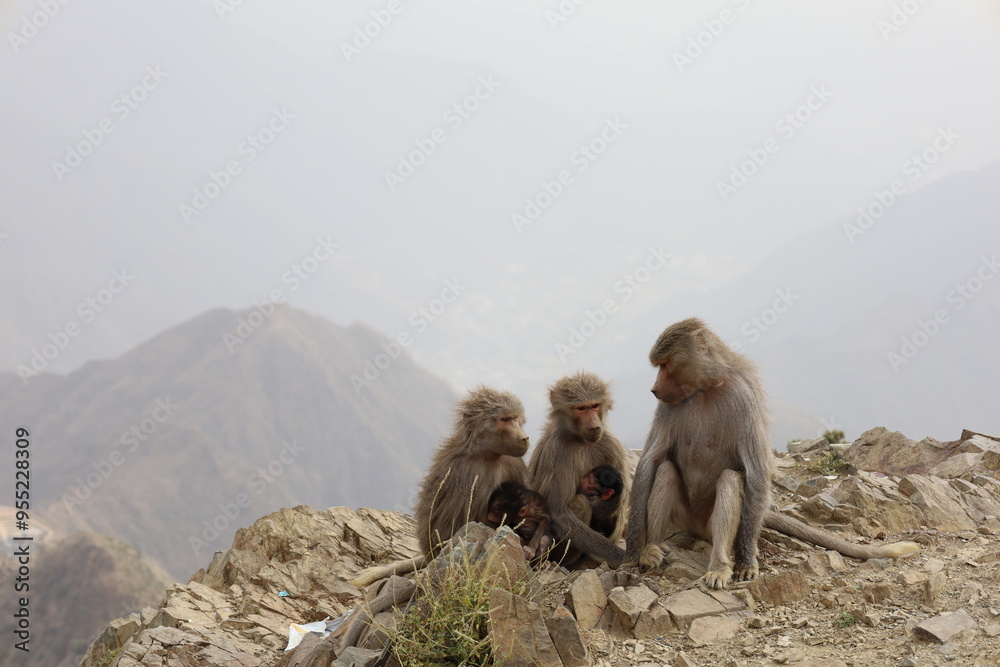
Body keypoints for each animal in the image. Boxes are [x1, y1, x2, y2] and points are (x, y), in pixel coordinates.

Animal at [349, 386, 530, 588]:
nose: (524, 438)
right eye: (505, 419)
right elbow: (463, 528)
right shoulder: (468, 474)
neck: (488, 455)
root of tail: (427, 555)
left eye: (516, 418)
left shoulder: (514, 462)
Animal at [528, 372, 630, 567]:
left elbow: (621, 501)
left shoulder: (610, 443)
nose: (595, 426)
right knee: (580, 503)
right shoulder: (557, 450)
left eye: (594, 406)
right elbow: (559, 513)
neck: (581, 440)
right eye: (581, 408)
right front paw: (622, 557)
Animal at [624, 318, 920, 589]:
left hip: (715, 524)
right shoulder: (667, 406)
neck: (706, 390)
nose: (654, 389)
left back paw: (719, 567)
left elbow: (754, 470)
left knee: (730, 480)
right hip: (684, 517)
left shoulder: (743, 399)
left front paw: (745, 563)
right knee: (665, 471)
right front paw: (634, 550)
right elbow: (650, 461)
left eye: (665, 365)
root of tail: (696, 527)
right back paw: (652, 549)